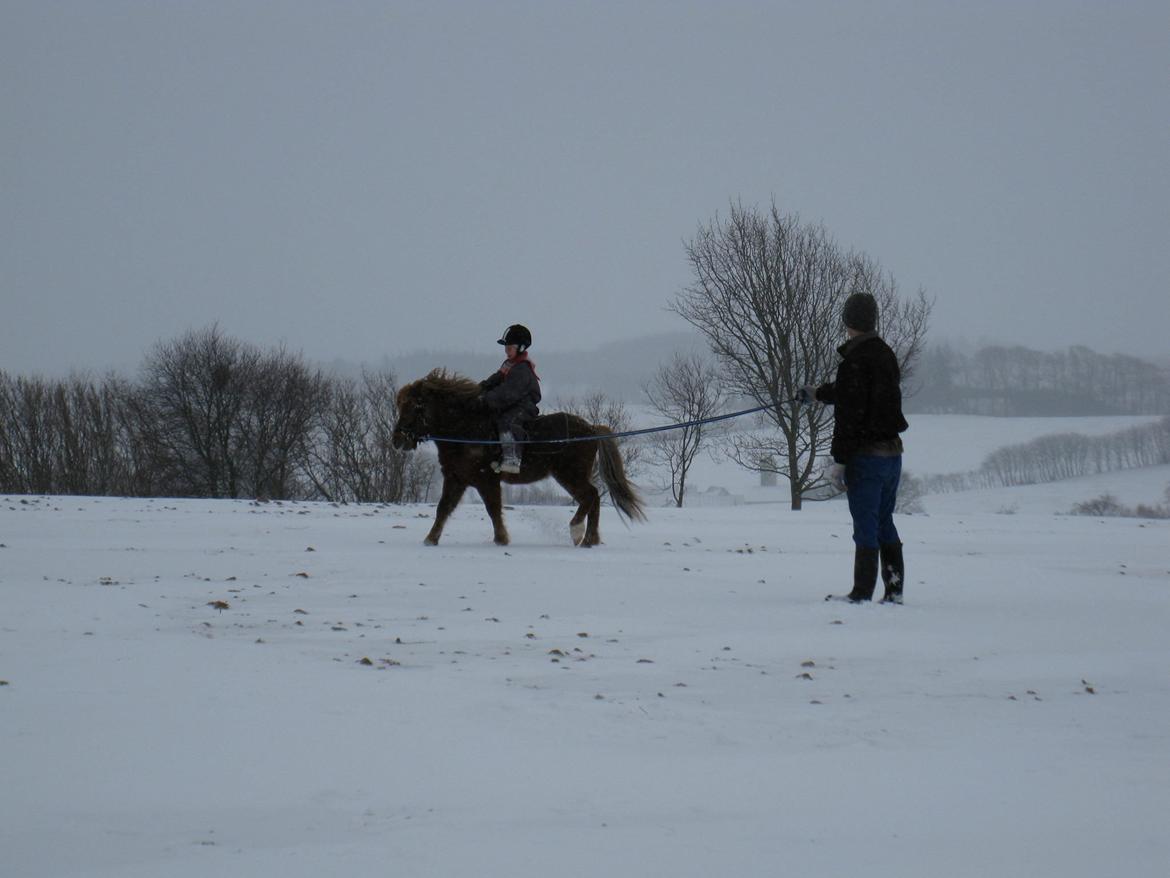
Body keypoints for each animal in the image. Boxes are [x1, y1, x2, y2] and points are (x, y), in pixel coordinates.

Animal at [393, 367, 650, 547]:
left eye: (415, 406)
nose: (397, 440)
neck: (466, 428)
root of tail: (591, 428)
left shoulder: (486, 480)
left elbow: (493, 508)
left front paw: (501, 539)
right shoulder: (457, 478)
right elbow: (443, 508)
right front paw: (430, 539)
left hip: (569, 475)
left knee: (591, 496)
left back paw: (579, 533)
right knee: (592, 499)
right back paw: (590, 539)